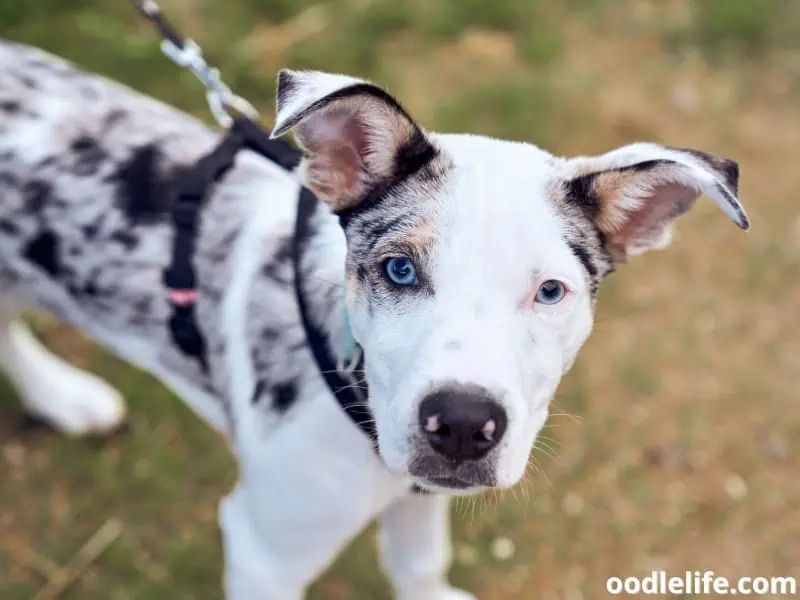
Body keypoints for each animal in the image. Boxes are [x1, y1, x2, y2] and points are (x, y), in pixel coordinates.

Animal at [1, 38, 752, 600]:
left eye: (550, 291)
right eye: (399, 271)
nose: (461, 425)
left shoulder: (417, 493)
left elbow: (418, 567)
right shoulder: (265, 550)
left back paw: (61, 397)